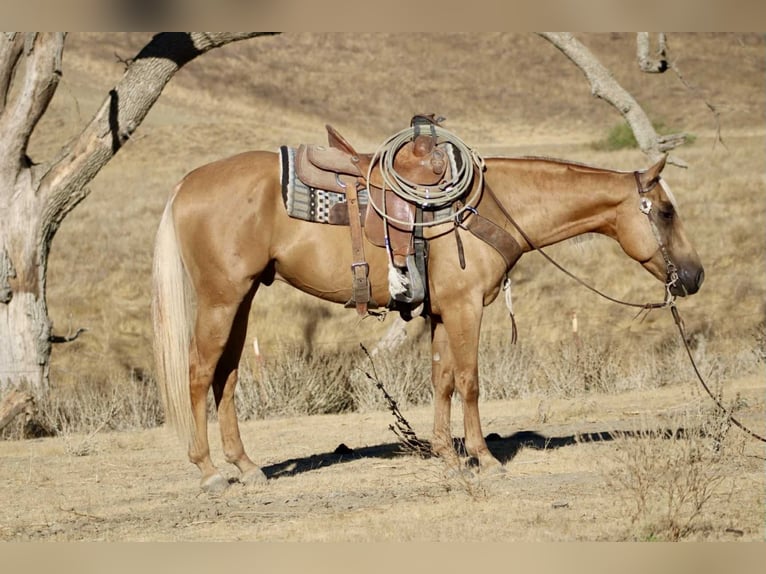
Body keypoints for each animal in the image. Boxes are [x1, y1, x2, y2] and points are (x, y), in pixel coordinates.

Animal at [152, 135, 704, 492]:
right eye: (666, 211)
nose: (695, 276)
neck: (491, 208)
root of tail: (186, 185)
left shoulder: (440, 314)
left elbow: (441, 380)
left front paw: (446, 455)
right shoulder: (464, 308)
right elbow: (470, 380)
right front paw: (484, 458)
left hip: (241, 298)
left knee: (226, 375)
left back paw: (246, 465)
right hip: (222, 298)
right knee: (199, 372)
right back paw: (209, 471)